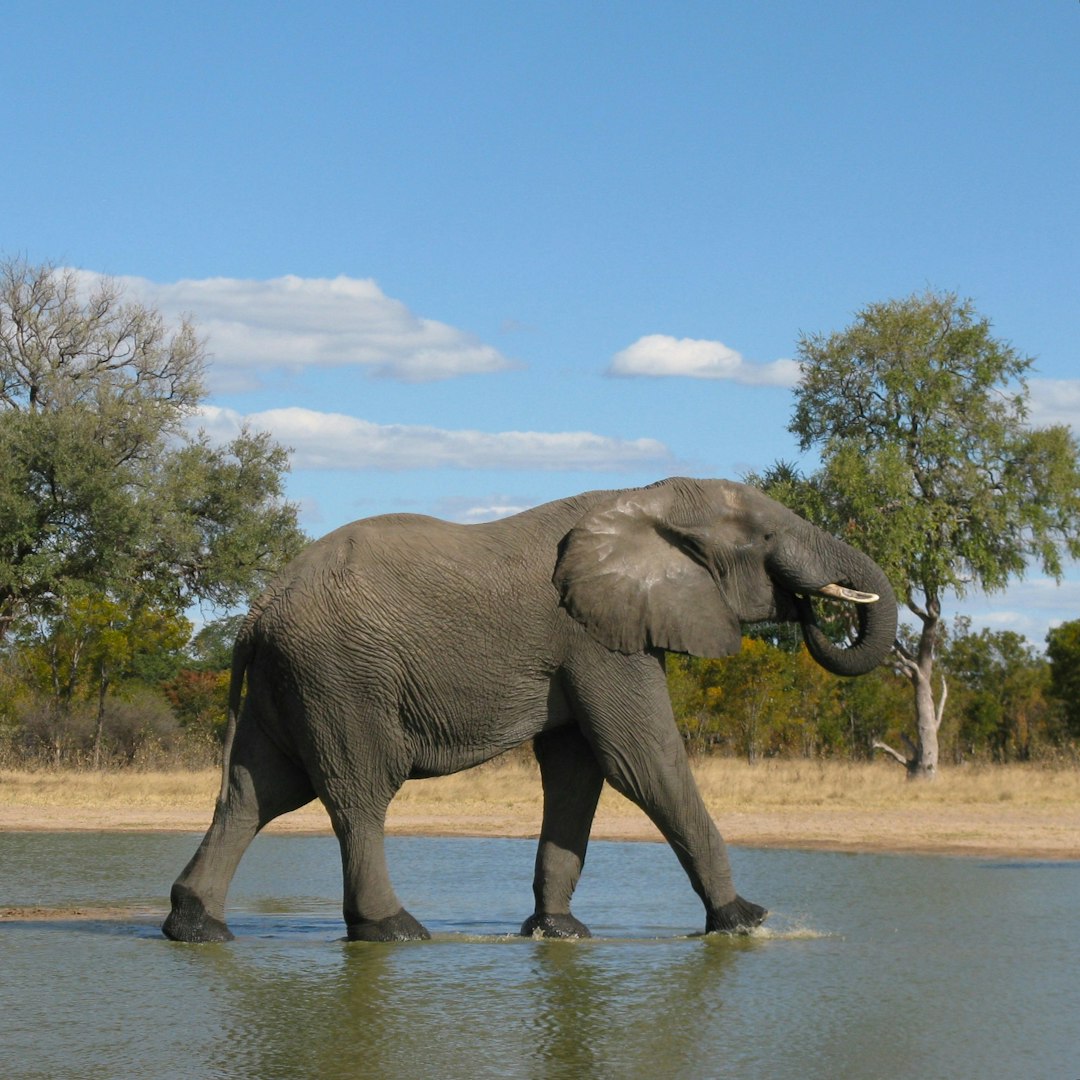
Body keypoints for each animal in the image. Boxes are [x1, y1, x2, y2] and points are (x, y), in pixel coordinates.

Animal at [162, 476, 897, 944]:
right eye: (767, 536)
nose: (813, 605)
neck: (646, 497)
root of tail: (258, 612)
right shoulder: (595, 637)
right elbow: (642, 762)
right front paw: (746, 922)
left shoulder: (588, 642)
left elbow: (579, 773)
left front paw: (558, 933)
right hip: (340, 676)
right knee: (357, 794)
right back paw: (394, 931)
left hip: (291, 680)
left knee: (256, 793)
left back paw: (195, 928)